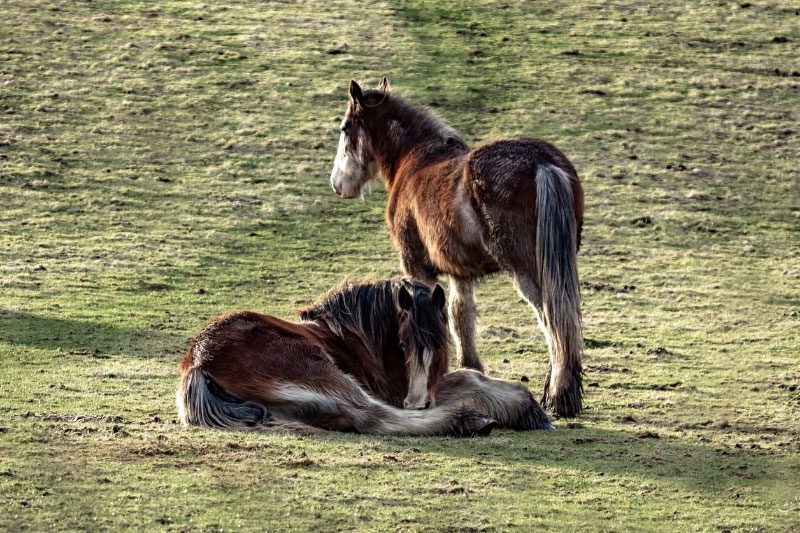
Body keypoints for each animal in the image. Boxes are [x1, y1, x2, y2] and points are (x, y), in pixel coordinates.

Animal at [177, 278, 553, 436]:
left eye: (441, 343)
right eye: (403, 343)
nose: (417, 403)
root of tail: (198, 362)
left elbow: (468, 376)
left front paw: (528, 409)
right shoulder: (397, 392)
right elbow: (467, 377)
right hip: (322, 373)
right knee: (371, 415)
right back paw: (466, 420)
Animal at [329, 78, 585, 417]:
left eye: (345, 128)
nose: (338, 184)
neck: (414, 160)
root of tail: (542, 163)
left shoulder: (416, 265)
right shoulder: (459, 271)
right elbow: (460, 314)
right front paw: (470, 369)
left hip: (526, 271)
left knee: (551, 320)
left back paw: (558, 396)